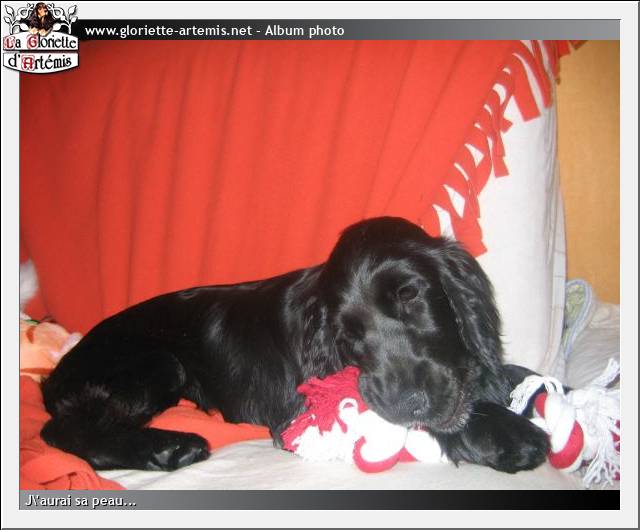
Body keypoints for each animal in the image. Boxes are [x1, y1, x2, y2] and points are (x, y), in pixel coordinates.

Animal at [41, 216, 549, 473]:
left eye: (411, 296)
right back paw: (168, 447)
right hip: (158, 362)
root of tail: (57, 373)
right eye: (349, 336)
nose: (409, 402)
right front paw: (504, 432)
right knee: (62, 431)